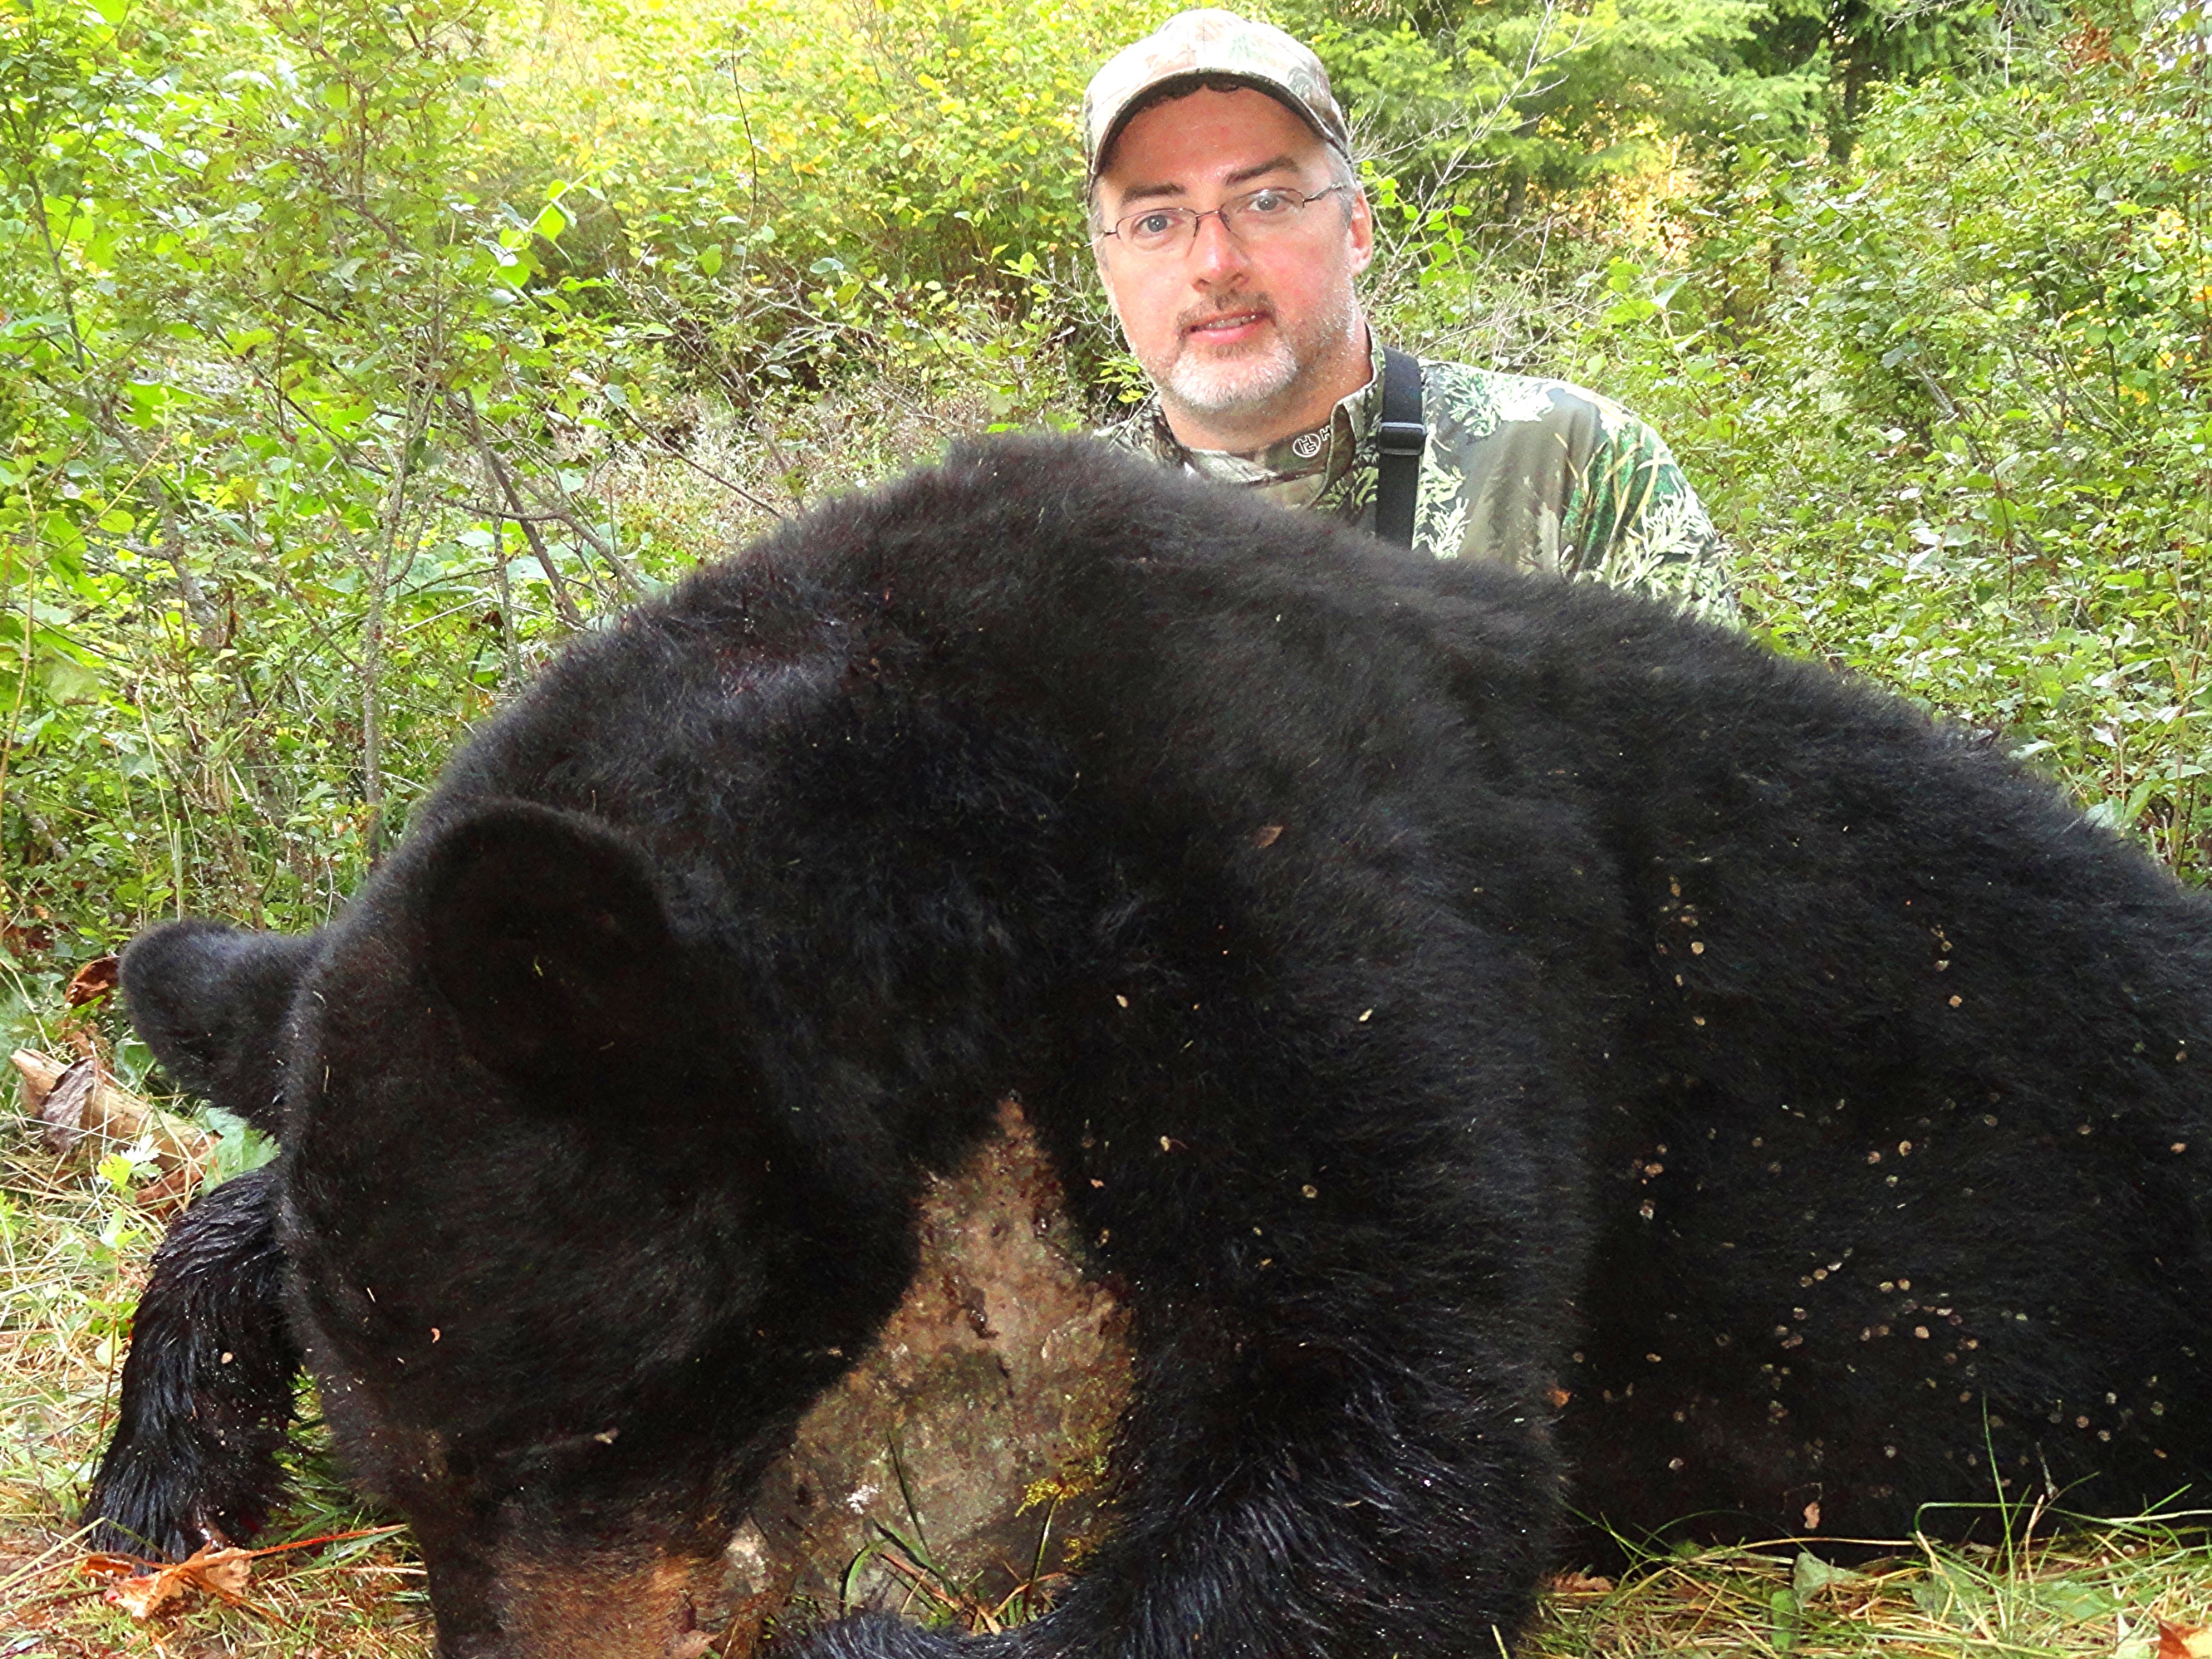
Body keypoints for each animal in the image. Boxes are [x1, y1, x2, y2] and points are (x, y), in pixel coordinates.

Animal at [88, 433, 2212, 1659]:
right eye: (404, 1479)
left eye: (563, 1436)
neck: (946, 757)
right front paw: (166, 1456)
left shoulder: (1290, 842)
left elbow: (1390, 1411)